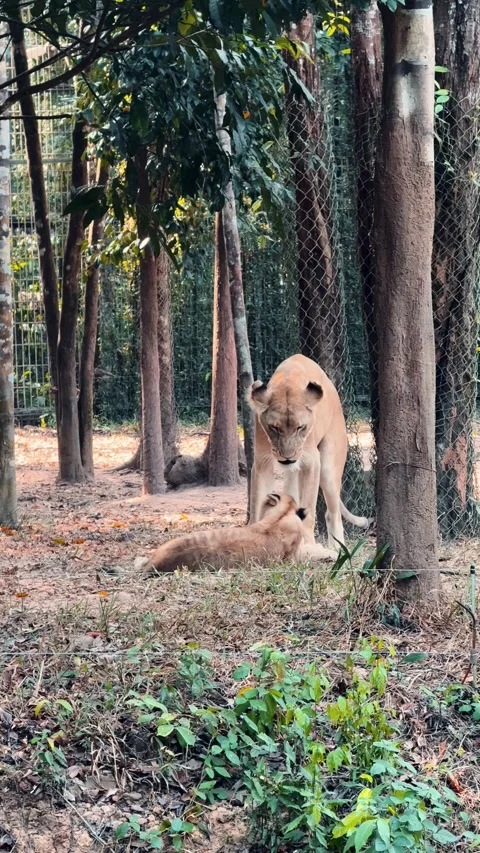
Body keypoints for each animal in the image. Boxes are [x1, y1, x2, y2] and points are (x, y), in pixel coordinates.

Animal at [249, 353, 371, 549]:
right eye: (274, 428)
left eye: (300, 427)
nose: (287, 457)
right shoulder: (262, 462)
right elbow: (257, 501)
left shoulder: (312, 461)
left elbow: (309, 508)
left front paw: (307, 542)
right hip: (292, 475)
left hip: (328, 467)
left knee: (333, 514)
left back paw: (337, 549)